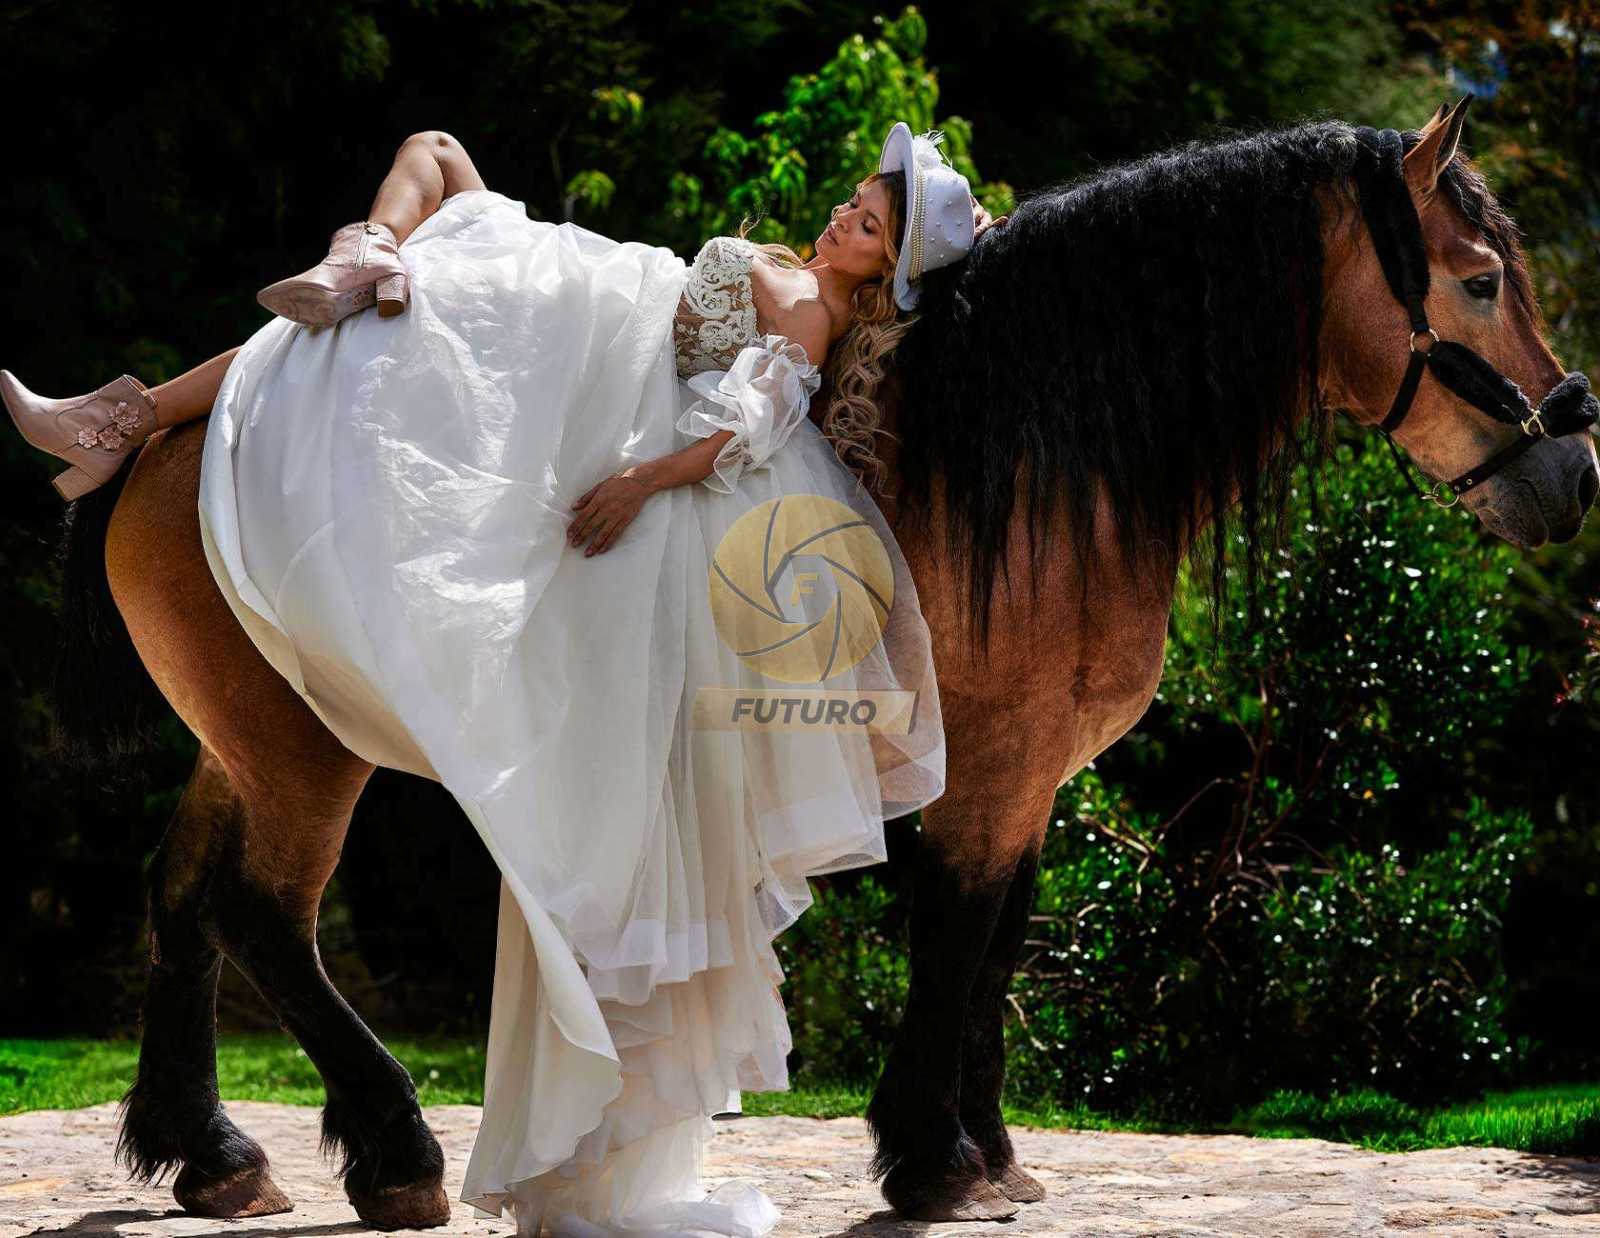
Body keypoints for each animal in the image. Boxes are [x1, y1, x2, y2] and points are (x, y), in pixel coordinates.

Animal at [46, 96, 1596, 1228]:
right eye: (1478, 279)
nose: (1573, 469)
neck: (1023, 461)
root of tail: (167, 435)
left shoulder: (1029, 772)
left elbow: (999, 941)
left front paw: (990, 1151)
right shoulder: (996, 763)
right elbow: (960, 937)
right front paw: (931, 1159)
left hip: (254, 731)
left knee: (182, 893)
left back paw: (213, 1153)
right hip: (307, 751)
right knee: (258, 911)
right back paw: (396, 1153)